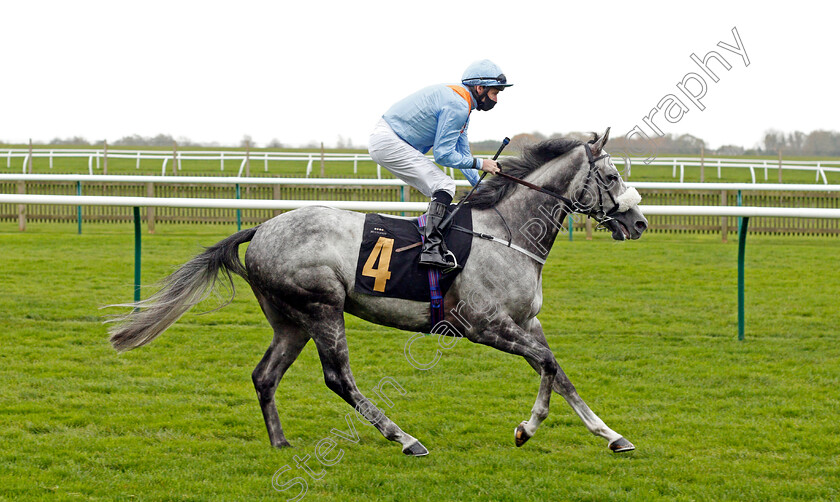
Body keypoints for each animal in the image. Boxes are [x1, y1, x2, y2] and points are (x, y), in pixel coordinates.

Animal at [110, 128, 648, 454]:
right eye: (611, 176)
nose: (639, 222)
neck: (508, 232)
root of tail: (261, 228)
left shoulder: (526, 322)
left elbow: (558, 371)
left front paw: (610, 435)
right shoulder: (483, 325)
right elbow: (548, 365)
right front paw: (528, 429)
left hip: (290, 320)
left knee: (265, 376)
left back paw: (281, 443)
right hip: (323, 308)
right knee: (338, 379)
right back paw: (404, 438)